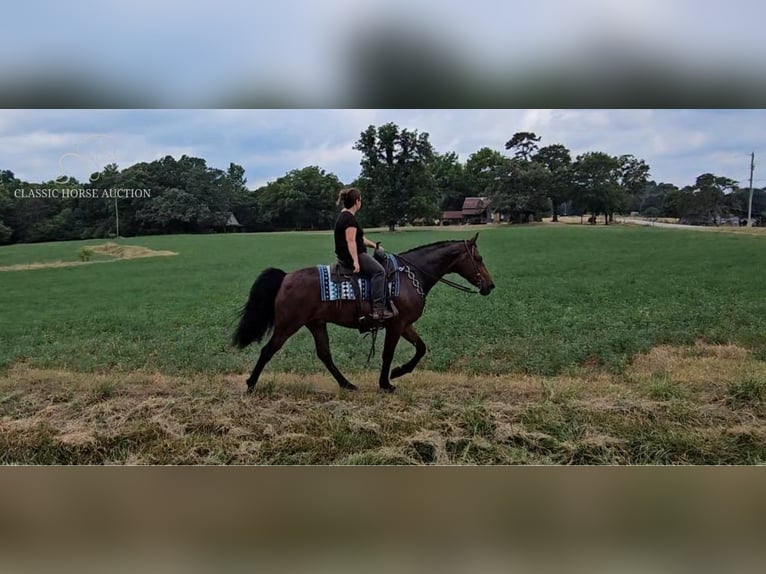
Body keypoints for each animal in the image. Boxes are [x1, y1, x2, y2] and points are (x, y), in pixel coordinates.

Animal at [234, 233, 498, 392]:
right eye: (478, 257)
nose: (490, 285)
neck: (410, 275)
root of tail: (286, 277)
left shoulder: (405, 324)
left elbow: (420, 348)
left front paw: (399, 372)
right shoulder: (396, 325)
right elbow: (388, 354)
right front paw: (386, 383)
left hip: (316, 324)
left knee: (325, 355)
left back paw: (347, 384)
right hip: (288, 325)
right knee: (268, 350)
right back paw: (250, 384)